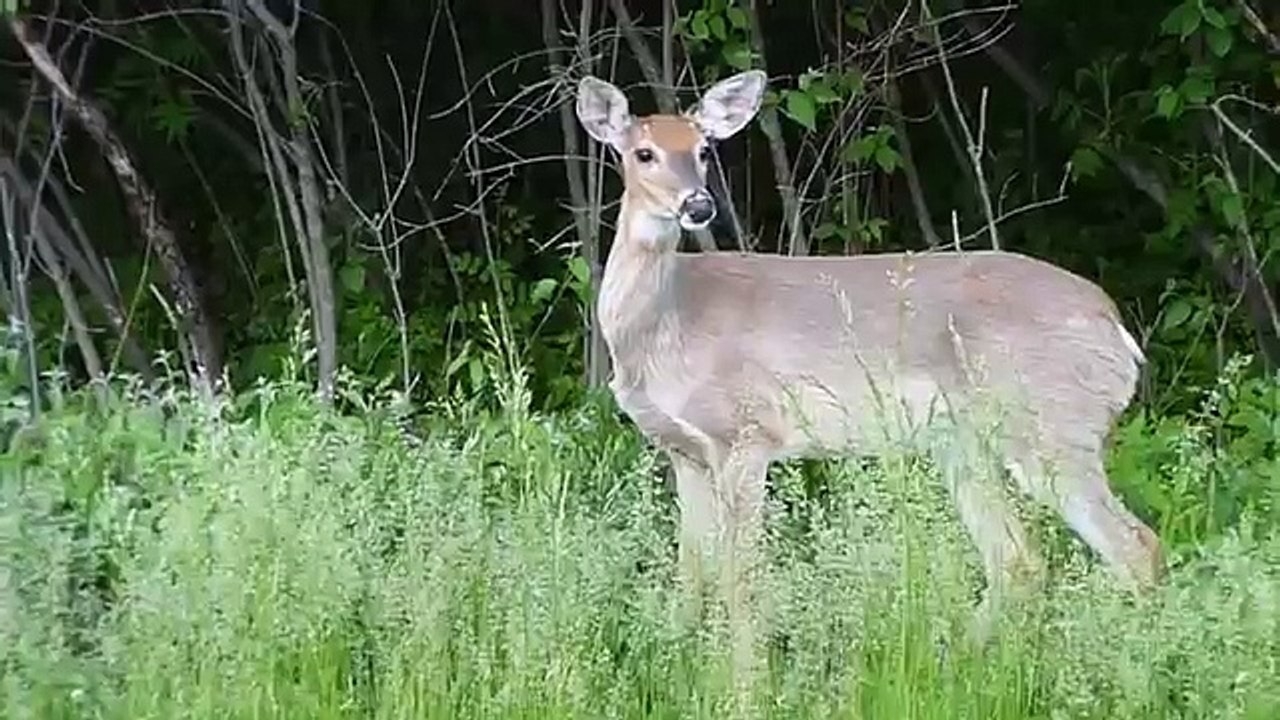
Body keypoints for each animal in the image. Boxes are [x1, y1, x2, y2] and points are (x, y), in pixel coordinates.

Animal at [573, 70, 1165, 665]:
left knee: (1137, 547)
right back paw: (955, 659)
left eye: (702, 150)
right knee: (1018, 558)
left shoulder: (745, 432)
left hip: (1052, 427)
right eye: (643, 152)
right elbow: (691, 576)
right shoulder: (684, 451)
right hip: (966, 443)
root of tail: (1117, 333)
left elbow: (742, 578)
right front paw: (678, 664)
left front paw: (745, 679)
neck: (667, 324)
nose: (698, 206)